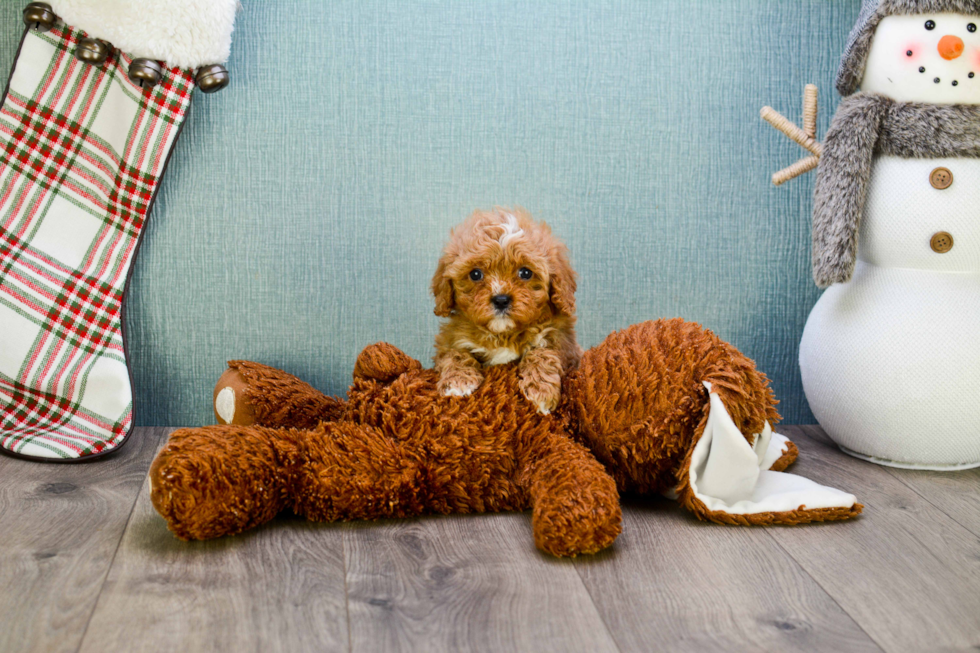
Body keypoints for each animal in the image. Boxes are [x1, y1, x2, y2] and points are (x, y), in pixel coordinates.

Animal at [430, 209, 580, 412]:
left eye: (525, 272)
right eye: (475, 274)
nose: (501, 300)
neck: (503, 333)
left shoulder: (562, 341)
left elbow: (543, 352)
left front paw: (541, 390)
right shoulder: (451, 340)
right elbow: (455, 354)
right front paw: (457, 382)